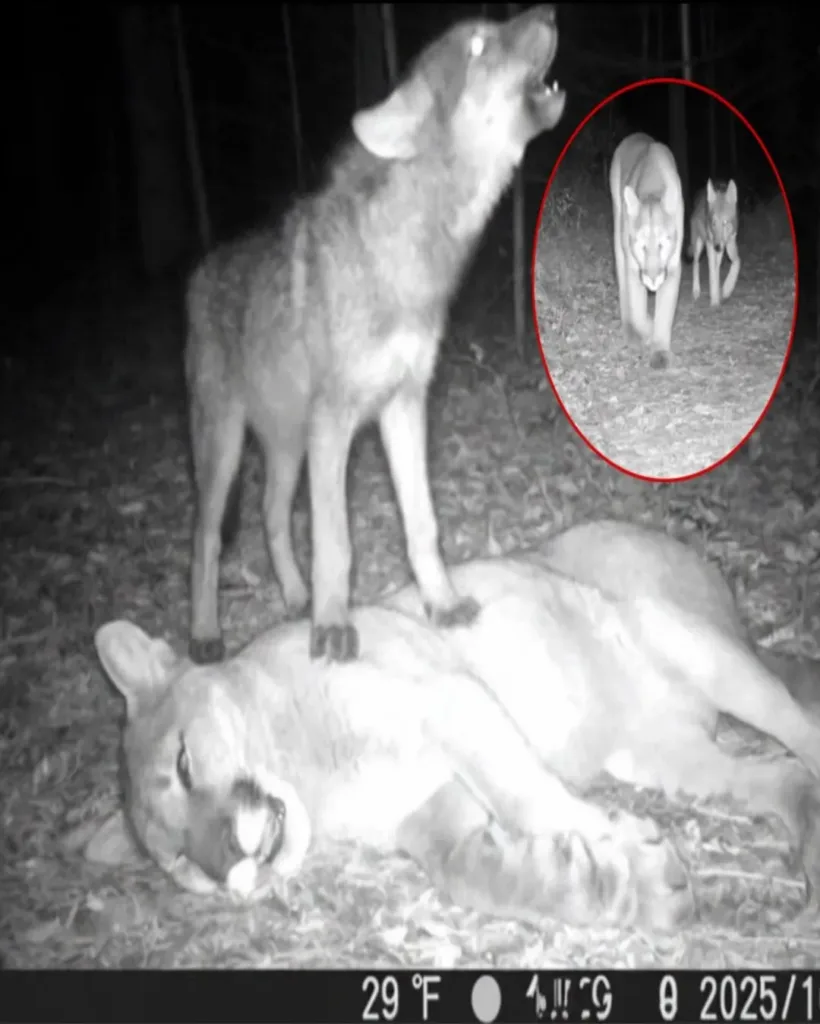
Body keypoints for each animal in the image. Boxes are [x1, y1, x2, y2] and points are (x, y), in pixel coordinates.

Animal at [86, 520, 820, 932]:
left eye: (184, 764)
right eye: (180, 863)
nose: (226, 863)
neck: (319, 782)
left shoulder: (450, 702)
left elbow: (524, 799)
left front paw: (614, 840)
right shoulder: (433, 812)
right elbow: (476, 875)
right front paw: (630, 888)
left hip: (692, 644)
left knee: (799, 724)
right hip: (661, 758)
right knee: (778, 774)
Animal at [184, 6, 566, 666]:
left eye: (492, 26)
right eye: (478, 44)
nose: (546, 10)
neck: (405, 263)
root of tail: (199, 273)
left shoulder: (404, 406)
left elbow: (423, 525)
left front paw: (441, 603)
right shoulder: (335, 423)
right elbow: (336, 542)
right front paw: (332, 625)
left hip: (287, 447)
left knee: (270, 516)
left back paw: (295, 598)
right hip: (227, 448)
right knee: (205, 540)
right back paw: (207, 634)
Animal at [609, 132, 684, 370]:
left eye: (662, 244)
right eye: (641, 246)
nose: (652, 279)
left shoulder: (673, 265)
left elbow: (665, 311)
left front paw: (660, 351)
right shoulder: (634, 266)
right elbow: (637, 307)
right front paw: (647, 330)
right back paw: (631, 333)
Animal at [688, 179, 741, 307]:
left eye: (725, 222)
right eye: (713, 223)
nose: (717, 246)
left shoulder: (730, 242)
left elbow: (737, 262)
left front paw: (726, 289)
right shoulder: (710, 245)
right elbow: (712, 273)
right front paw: (715, 301)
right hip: (698, 245)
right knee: (695, 264)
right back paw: (696, 291)